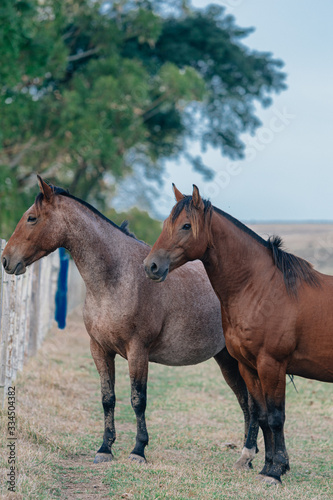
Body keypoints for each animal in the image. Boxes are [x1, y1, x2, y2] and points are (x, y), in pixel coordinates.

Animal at [1, 176, 258, 464]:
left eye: (31, 218)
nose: (6, 260)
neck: (117, 278)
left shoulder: (138, 351)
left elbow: (138, 399)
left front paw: (138, 450)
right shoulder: (99, 349)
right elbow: (108, 398)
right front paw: (105, 448)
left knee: (253, 403)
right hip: (226, 360)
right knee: (245, 401)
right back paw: (248, 454)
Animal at [144, 185, 332, 484]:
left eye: (186, 225)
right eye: (165, 224)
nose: (151, 266)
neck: (261, 289)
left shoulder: (272, 366)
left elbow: (276, 417)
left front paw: (275, 472)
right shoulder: (249, 367)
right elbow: (263, 416)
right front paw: (269, 465)